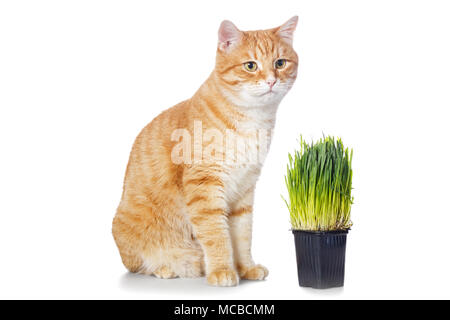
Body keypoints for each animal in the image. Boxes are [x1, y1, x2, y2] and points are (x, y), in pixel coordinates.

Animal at [111, 16, 298, 288]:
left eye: (280, 63)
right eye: (250, 66)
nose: (271, 81)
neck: (252, 119)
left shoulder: (244, 190)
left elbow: (242, 235)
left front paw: (246, 267)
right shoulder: (205, 185)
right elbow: (216, 235)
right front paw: (222, 270)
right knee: (138, 265)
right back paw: (166, 267)